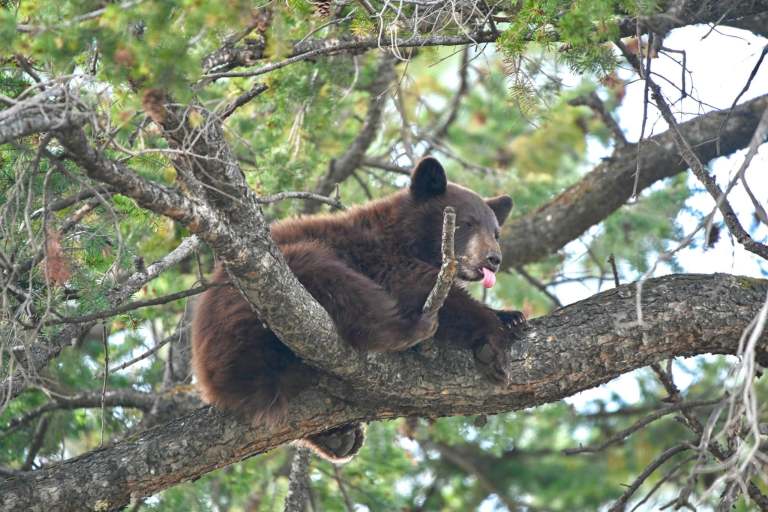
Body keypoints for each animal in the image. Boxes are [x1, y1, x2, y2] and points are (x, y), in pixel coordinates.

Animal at [191, 157, 526, 462]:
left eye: (496, 232)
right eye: (467, 223)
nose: (493, 258)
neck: (406, 236)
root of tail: (207, 375)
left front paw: (513, 317)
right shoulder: (381, 255)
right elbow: (419, 288)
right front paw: (494, 345)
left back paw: (338, 437)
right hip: (254, 304)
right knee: (329, 275)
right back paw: (410, 330)